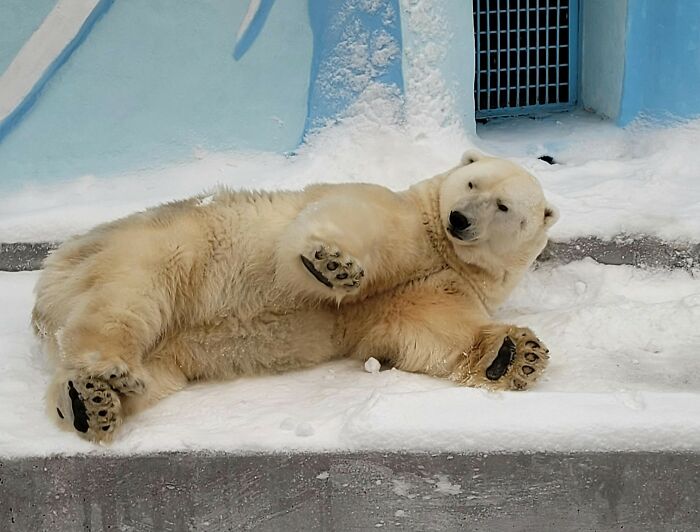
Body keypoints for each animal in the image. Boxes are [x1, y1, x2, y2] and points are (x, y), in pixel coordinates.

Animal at [32, 150, 558, 442]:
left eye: (503, 206)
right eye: (470, 182)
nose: (460, 218)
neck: (443, 247)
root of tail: (55, 271)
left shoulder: (439, 284)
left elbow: (428, 325)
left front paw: (515, 355)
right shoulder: (403, 215)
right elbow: (356, 218)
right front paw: (332, 264)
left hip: (171, 345)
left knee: (155, 367)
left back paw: (89, 403)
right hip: (163, 246)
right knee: (126, 298)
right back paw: (107, 371)